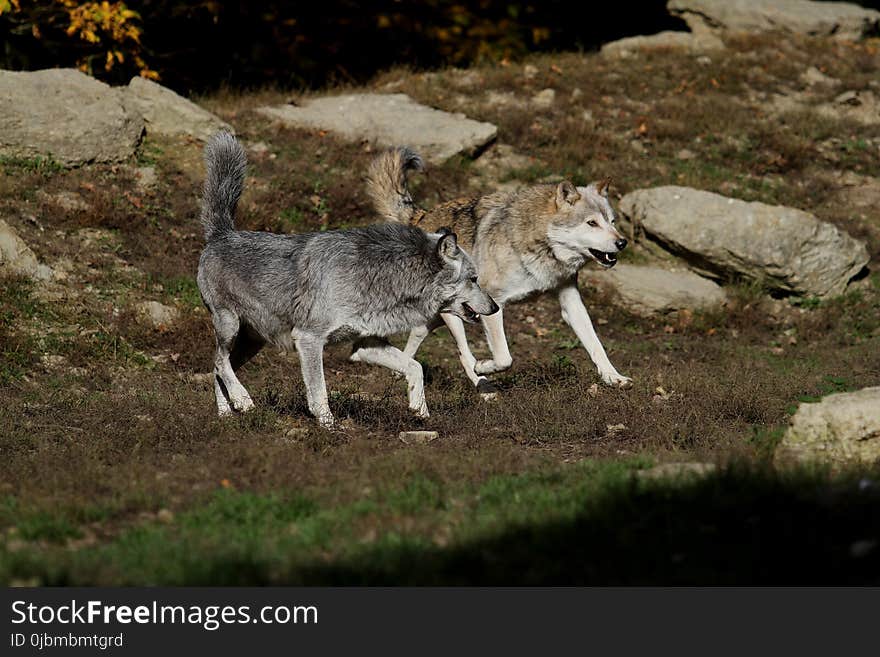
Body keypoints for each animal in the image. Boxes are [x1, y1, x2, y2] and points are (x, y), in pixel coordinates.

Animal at [200, 135, 502, 430]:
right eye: (474, 279)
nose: (495, 307)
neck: (377, 278)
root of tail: (221, 234)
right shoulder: (308, 339)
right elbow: (319, 392)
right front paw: (329, 427)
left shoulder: (365, 345)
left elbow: (415, 366)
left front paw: (420, 410)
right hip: (230, 326)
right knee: (219, 361)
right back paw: (243, 401)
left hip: (253, 342)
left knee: (217, 369)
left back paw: (226, 415)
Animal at [366, 148, 632, 394]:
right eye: (592, 223)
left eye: (612, 222)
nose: (622, 243)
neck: (538, 242)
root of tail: (421, 215)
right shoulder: (494, 303)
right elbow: (504, 358)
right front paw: (484, 366)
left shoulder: (570, 301)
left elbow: (596, 344)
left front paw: (614, 378)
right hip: (456, 314)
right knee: (463, 354)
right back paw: (484, 385)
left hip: (443, 316)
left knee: (418, 333)